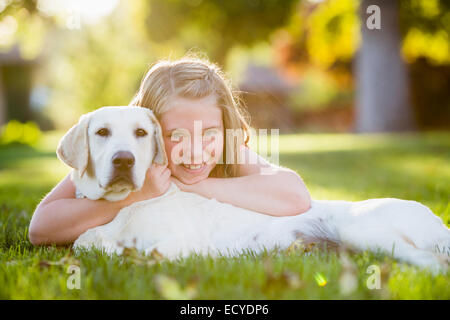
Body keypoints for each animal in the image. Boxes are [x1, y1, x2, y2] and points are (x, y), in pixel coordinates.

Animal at [57, 106, 450, 272]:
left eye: (140, 132)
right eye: (102, 132)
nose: (123, 161)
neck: (124, 206)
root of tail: (434, 216)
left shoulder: (183, 239)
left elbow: (149, 252)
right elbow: (86, 243)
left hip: (365, 229)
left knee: (430, 260)